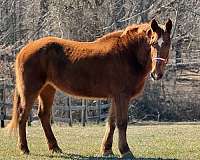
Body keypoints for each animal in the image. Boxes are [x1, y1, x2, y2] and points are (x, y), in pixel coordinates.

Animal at [6, 18, 172, 158]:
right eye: (153, 43)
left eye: (168, 44)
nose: (156, 74)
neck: (127, 53)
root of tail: (24, 49)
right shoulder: (122, 96)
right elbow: (122, 122)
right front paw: (125, 151)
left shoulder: (115, 97)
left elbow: (111, 123)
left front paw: (107, 150)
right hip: (30, 90)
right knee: (22, 116)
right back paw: (24, 149)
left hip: (48, 89)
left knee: (44, 115)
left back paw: (55, 147)